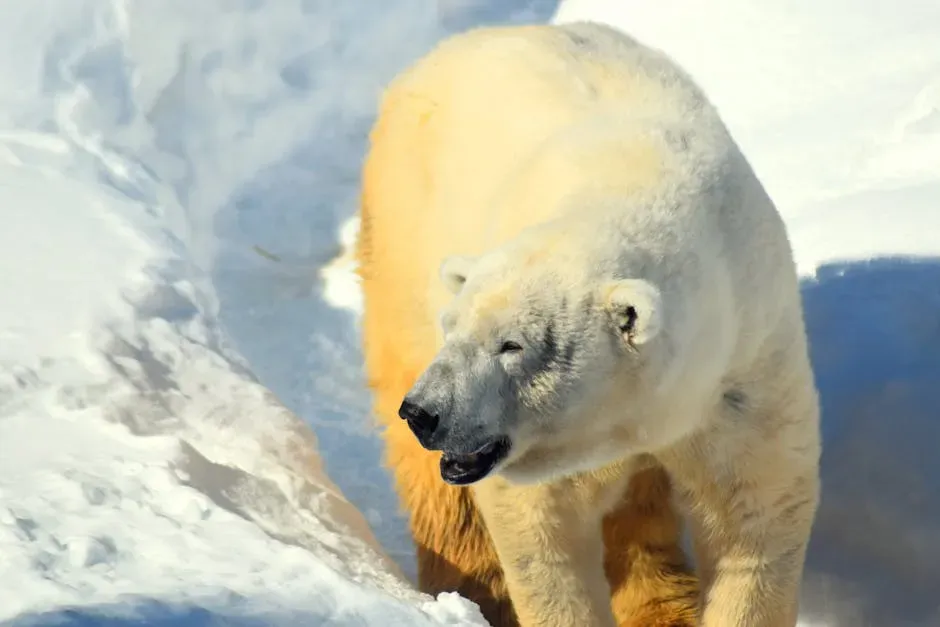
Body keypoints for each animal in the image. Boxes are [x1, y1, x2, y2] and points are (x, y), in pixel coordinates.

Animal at [356, 20, 821, 627]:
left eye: (512, 345)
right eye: (452, 325)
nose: (425, 412)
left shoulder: (745, 365)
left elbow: (756, 514)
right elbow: (541, 530)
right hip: (402, 243)